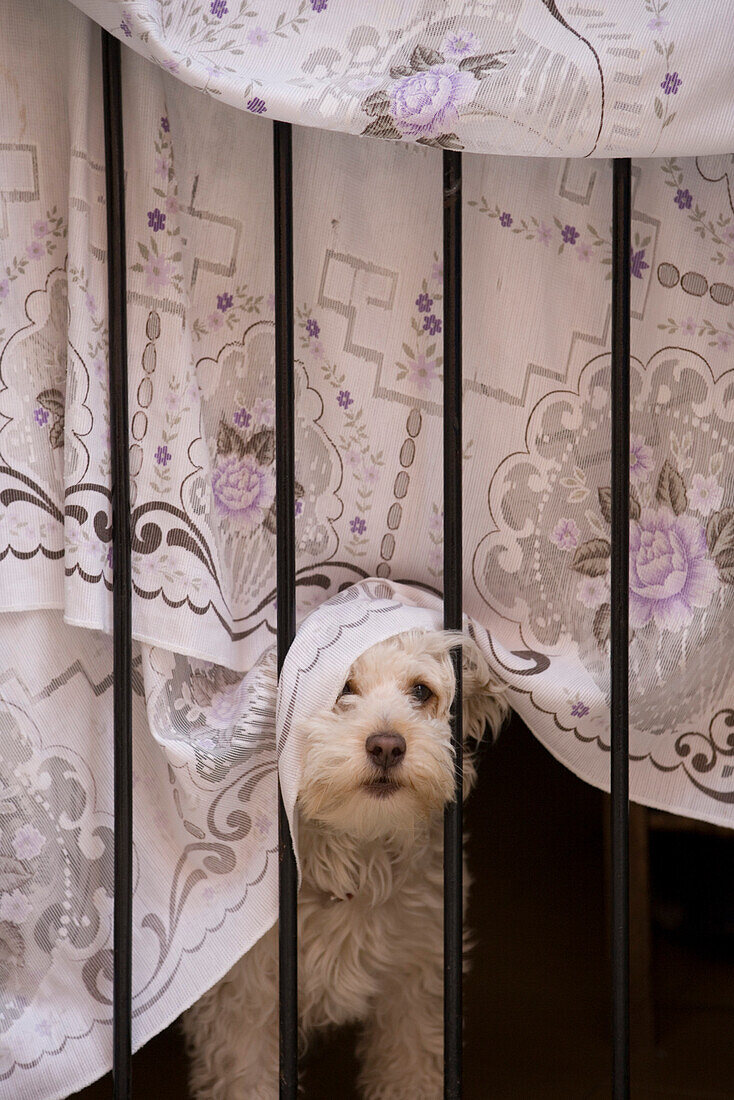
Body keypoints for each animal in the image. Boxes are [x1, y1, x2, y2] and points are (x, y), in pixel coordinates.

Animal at [180, 629, 508, 1100]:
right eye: (341, 689)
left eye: (421, 691)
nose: (387, 746)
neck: (354, 858)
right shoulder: (244, 1008)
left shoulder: (416, 992)